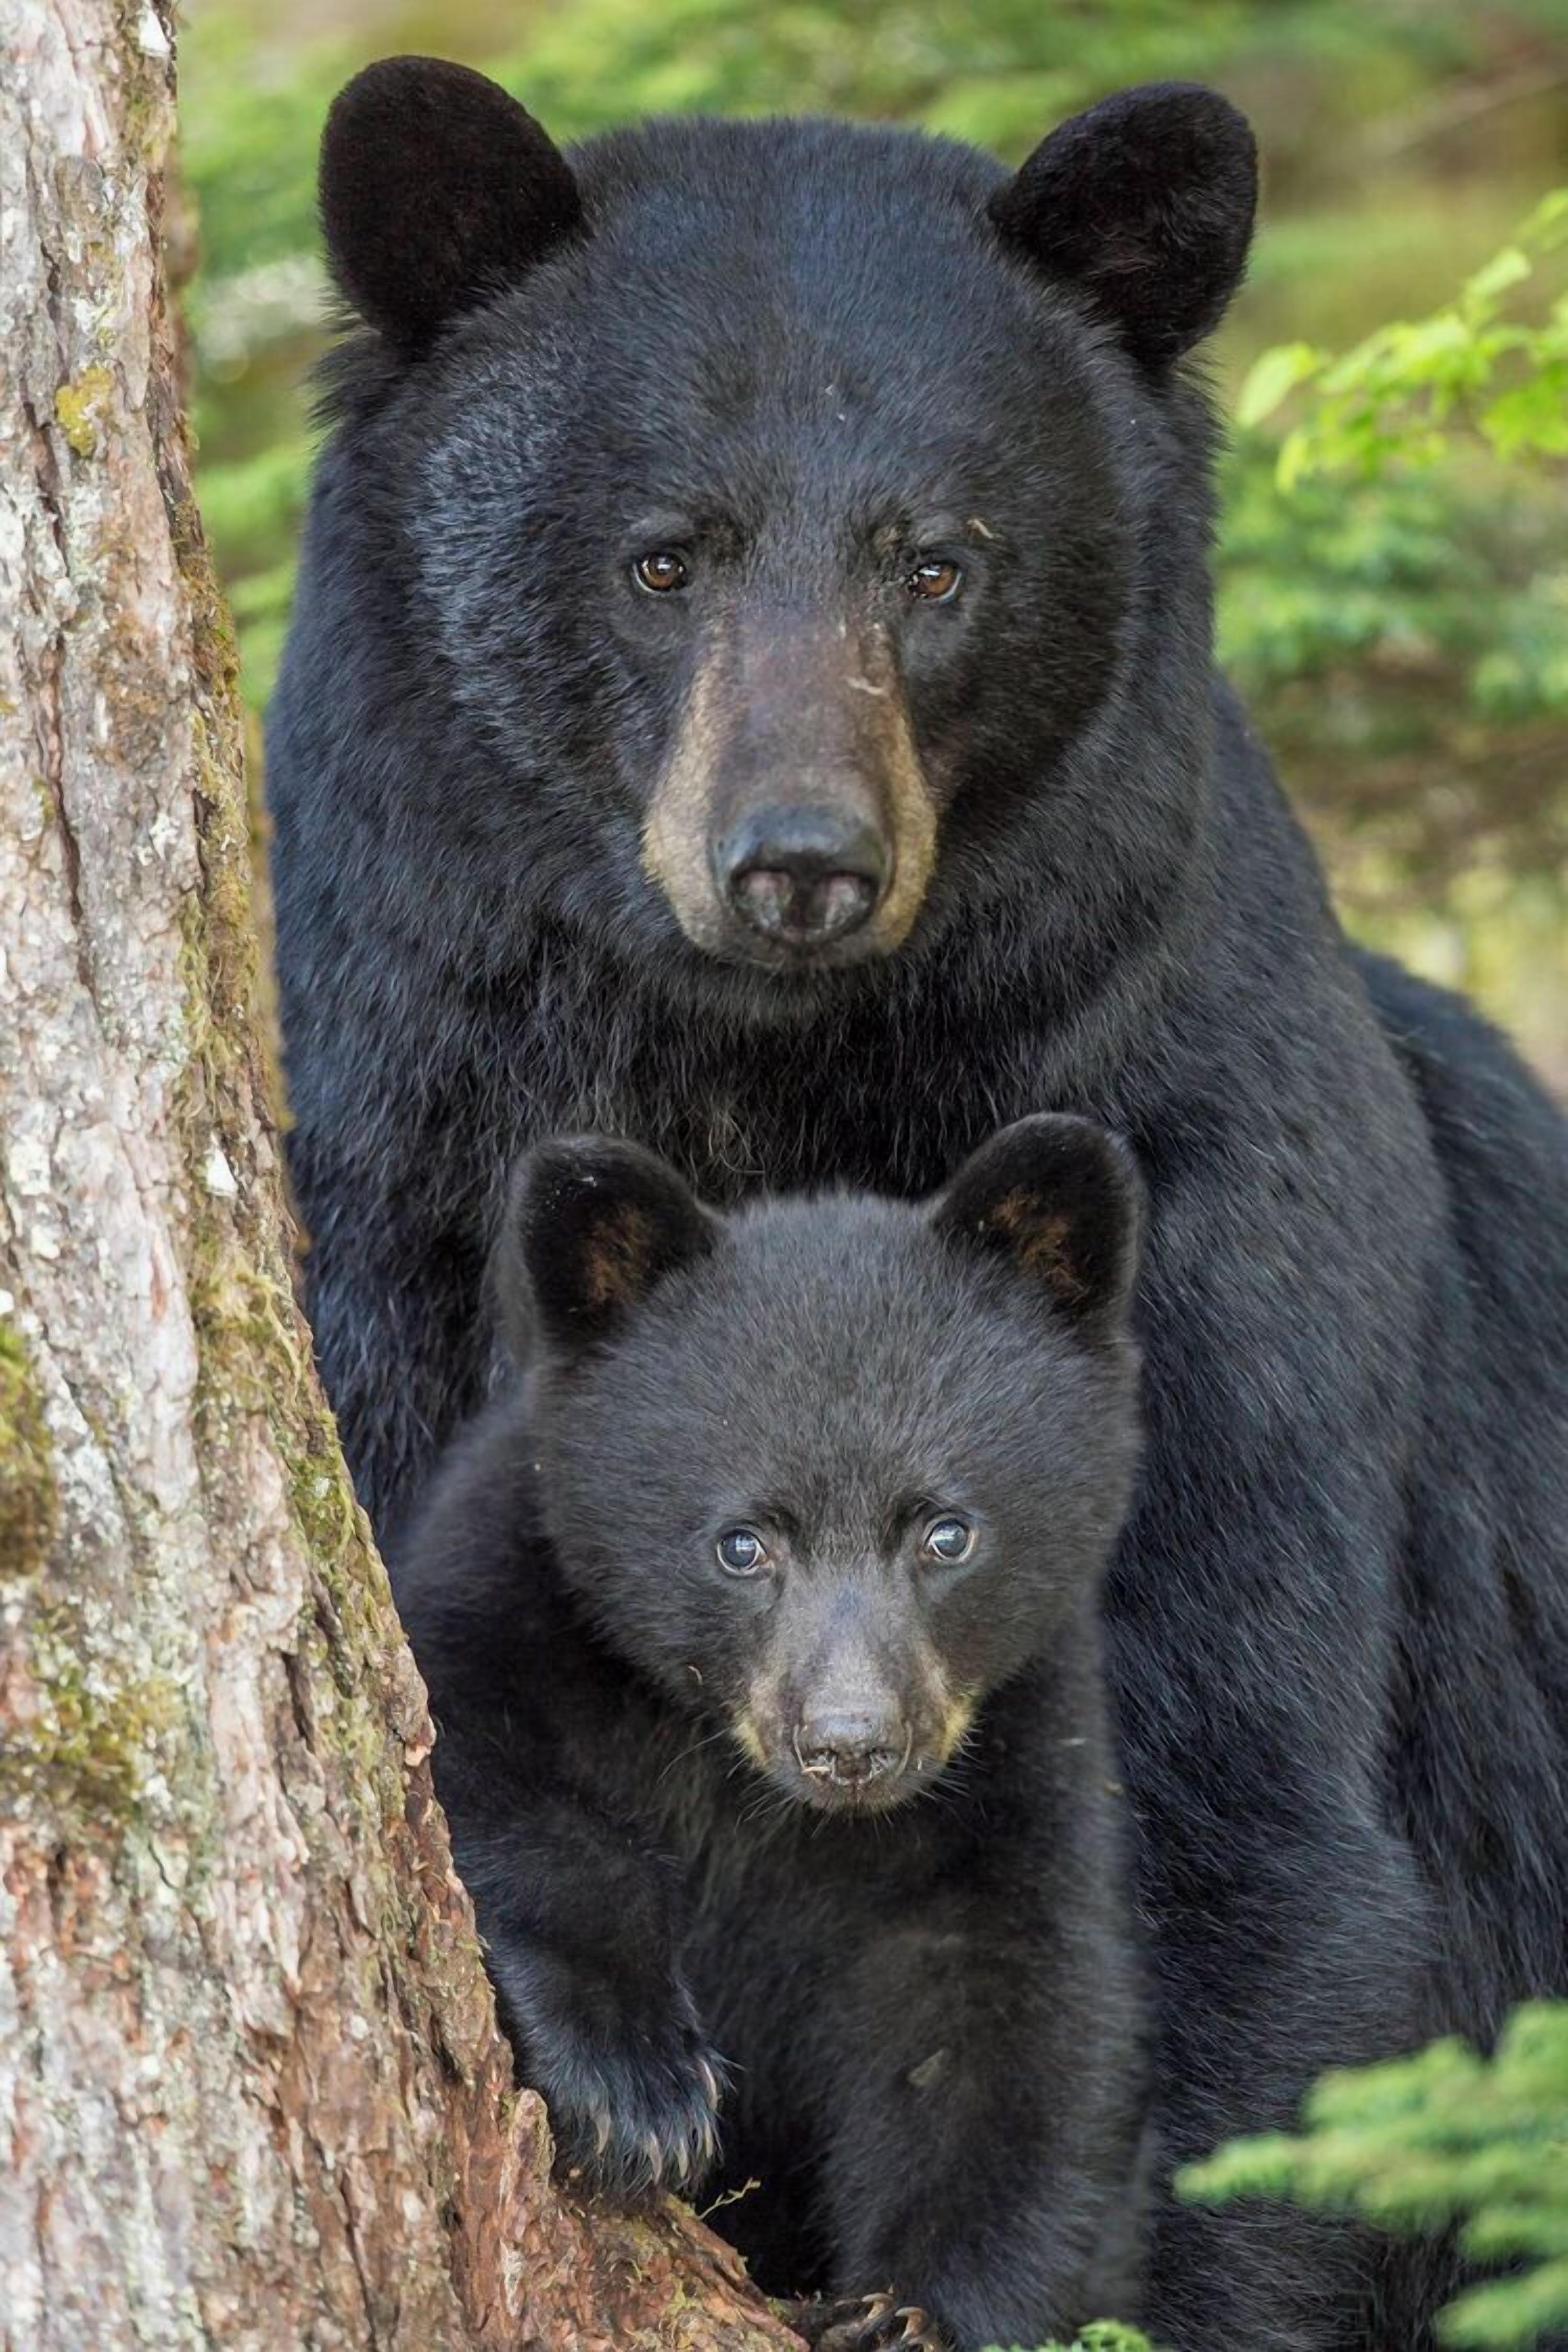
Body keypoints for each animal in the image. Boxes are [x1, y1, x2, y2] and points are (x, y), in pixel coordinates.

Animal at [392, 1116, 1152, 2351]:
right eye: (742, 1543)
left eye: (947, 1532)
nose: (850, 1745)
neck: (752, 1792)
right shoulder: (505, 1603)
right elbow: (483, 1784)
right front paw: (634, 2085)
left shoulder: (1021, 1762)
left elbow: (1012, 2021)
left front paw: (912, 2311)